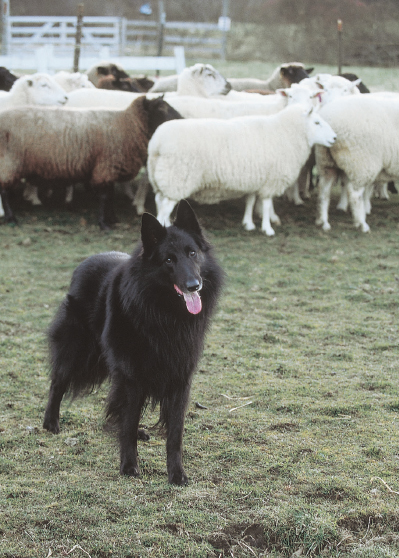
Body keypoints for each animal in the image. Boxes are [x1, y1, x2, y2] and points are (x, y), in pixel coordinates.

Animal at [0, 96, 184, 230]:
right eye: (161, 108)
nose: (182, 120)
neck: (126, 125)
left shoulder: (109, 169)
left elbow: (109, 195)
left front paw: (113, 219)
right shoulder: (105, 167)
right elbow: (104, 196)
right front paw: (104, 223)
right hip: (9, 162)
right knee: (4, 191)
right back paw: (11, 218)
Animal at [44, 201, 225, 486]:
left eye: (193, 253)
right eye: (169, 260)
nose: (193, 286)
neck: (163, 313)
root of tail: (85, 262)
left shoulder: (180, 379)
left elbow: (174, 434)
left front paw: (177, 473)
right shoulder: (132, 377)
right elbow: (127, 423)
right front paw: (129, 465)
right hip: (79, 353)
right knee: (58, 381)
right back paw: (50, 422)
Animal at [148, 104, 336, 235]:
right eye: (317, 122)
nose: (334, 138)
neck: (286, 133)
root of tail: (157, 143)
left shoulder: (254, 179)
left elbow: (251, 201)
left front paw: (249, 224)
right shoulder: (270, 181)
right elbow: (266, 204)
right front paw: (267, 228)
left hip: (161, 179)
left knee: (158, 202)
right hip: (177, 179)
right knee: (165, 208)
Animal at [318, 96, 399, 234]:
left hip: (327, 163)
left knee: (324, 192)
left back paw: (324, 223)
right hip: (361, 163)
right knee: (355, 196)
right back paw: (362, 224)